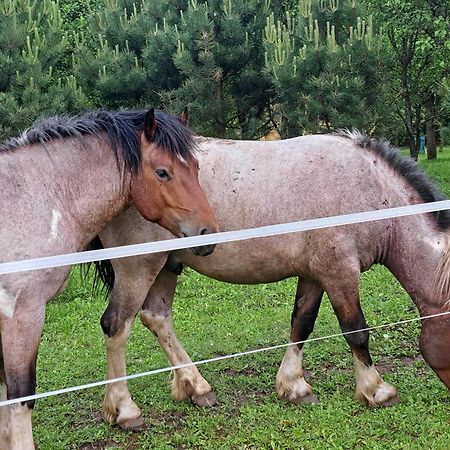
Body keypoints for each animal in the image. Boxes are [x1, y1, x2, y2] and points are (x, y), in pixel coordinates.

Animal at [0, 109, 218, 450]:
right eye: (162, 172)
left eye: (195, 167)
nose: (207, 234)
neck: (35, 199)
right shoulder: (22, 313)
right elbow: (20, 395)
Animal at [92, 128, 450, 430]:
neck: (369, 188)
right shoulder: (339, 272)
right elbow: (356, 331)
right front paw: (376, 390)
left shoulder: (313, 275)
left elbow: (302, 324)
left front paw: (294, 386)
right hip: (139, 267)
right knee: (117, 325)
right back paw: (125, 410)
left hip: (167, 265)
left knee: (157, 318)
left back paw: (197, 388)